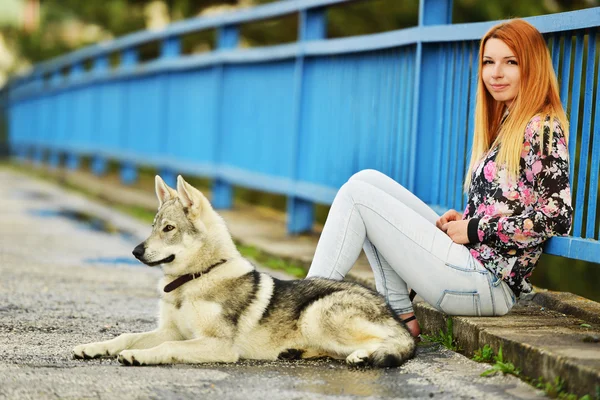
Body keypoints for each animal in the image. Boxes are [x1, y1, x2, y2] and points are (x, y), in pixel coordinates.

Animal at [72, 175, 414, 366]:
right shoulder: (170, 330)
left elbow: (167, 347)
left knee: (390, 344)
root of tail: (388, 308)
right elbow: (125, 336)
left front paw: (140, 356)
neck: (196, 278)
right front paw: (93, 348)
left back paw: (362, 356)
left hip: (316, 316)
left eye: (168, 229)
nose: (136, 251)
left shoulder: (216, 344)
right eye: (153, 227)